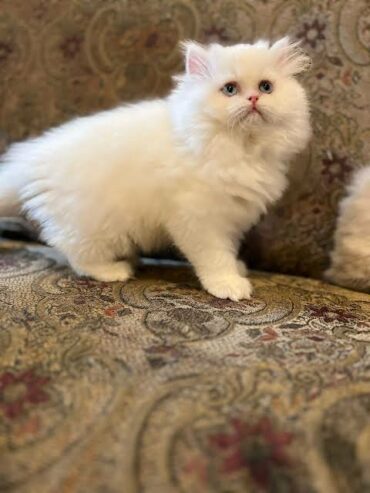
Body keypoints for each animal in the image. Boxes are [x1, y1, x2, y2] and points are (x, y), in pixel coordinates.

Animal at [0, 37, 310, 300]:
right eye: (230, 89)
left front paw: (236, 267)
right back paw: (114, 270)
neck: (239, 148)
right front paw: (228, 284)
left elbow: (228, 249)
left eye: (266, 87)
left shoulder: (231, 217)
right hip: (96, 224)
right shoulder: (198, 219)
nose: (253, 99)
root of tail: (32, 157)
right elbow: (214, 257)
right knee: (74, 253)